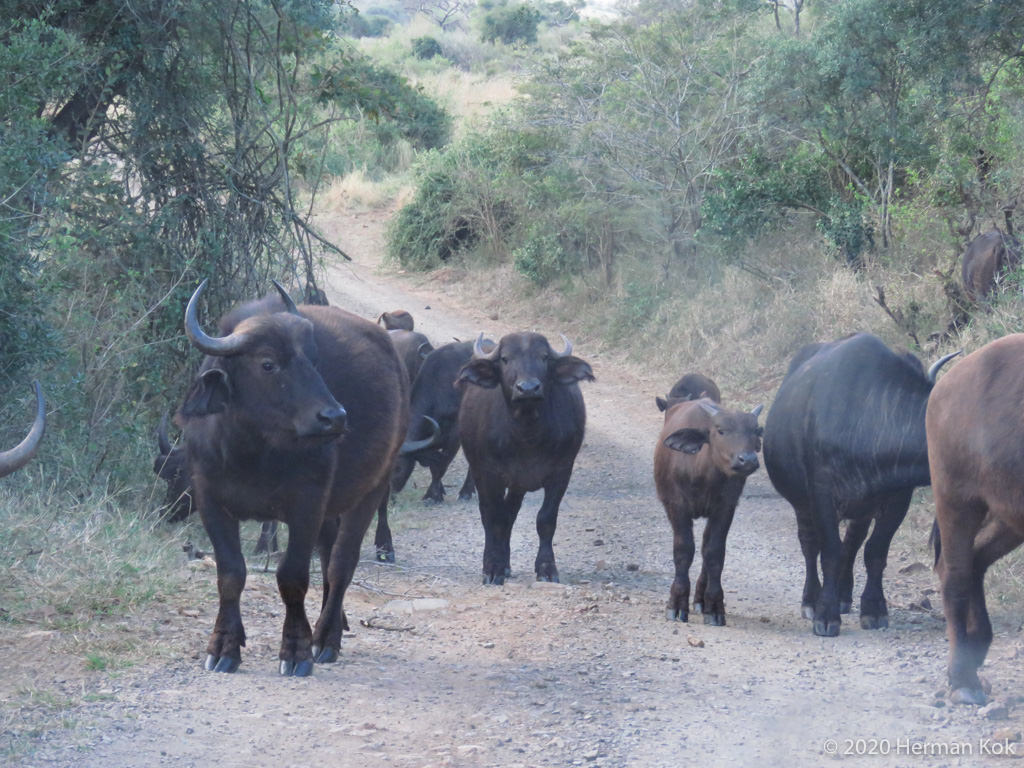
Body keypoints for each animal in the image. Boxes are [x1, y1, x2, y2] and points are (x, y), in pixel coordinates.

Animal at [178, 280, 418, 675]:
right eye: (268, 363)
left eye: (314, 360)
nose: (334, 417)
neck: (252, 453)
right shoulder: (209, 498)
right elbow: (231, 574)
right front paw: (225, 646)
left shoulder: (307, 505)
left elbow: (292, 577)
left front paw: (296, 650)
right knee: (328, 552)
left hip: (373, 486)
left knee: (341, 563)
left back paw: (326, 638)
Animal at [457, 332, 594, 584]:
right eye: (505, 358)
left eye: (544, 357)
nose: (528, 388)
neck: (527, 433)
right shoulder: (489, 474)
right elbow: (494, 518)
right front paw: (493, 568)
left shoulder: (561, 472)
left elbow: (546, 519)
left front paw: (546, 568)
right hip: (480, 472)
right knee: (489, 516)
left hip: (518, 485)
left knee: (510, 514)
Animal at [655, 395, 762, 625]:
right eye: (720, 430)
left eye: (756, 431)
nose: (747, 459)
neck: (702, 474)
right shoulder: (676, 505)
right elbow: (684, 549)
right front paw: (677, 604)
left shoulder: (725, 507)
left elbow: (714, 552)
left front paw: (714, 606)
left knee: (706, 547)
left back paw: (701, 600)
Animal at [763, 333, 958, 636]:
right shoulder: (822, 495)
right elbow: (829, 552)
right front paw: (825, 614)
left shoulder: (897, 499)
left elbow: (874, 551)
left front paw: (874, 609)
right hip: (802, 504)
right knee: (810, 545)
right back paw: (811, 600)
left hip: (861, 508)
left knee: (852, 542)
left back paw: (844, 596)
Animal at [927, 333, 1024, 704]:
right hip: (955, 498)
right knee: (954, 573)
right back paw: (963, 678)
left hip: (1008, 513)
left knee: (976, 559)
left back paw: (976, 645)